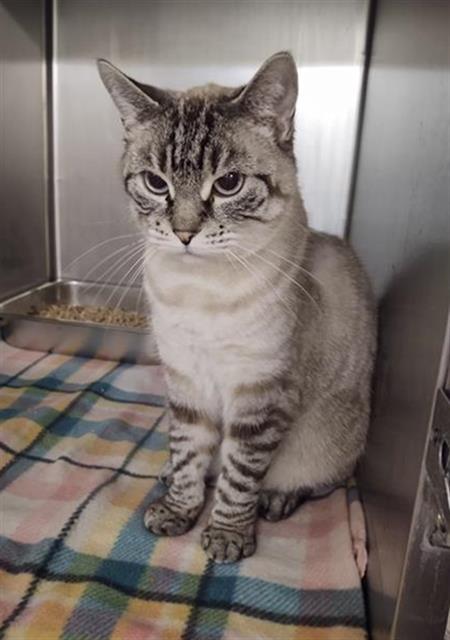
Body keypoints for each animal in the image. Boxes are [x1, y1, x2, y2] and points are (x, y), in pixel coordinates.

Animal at [98, 53, 376, 564]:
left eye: (228, 184)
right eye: (156, 183)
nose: (184, 233)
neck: (199, 292)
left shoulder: (261, 396)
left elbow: (239, 477)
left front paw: (227, 536)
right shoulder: (186, 383)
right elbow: (189, 455)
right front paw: (178, 510)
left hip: (326, 446)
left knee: (314, 482)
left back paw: (277, 499)